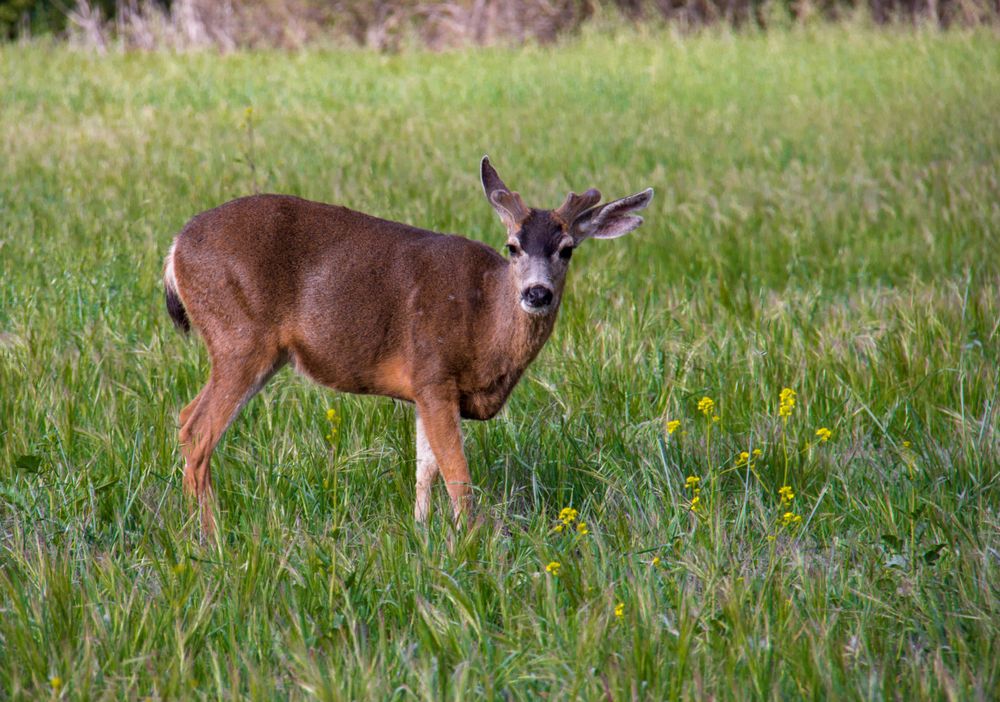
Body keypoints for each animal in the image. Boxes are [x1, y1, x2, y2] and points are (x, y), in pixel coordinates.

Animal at [164, 156, 653, 534]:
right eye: (512, 246)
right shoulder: (434, 370)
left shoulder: (424, 388)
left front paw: (421, 534)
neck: (485, 323)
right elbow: (457, 475)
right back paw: (210, 537)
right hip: (240, 337)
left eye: (567, 248)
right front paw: (469, 544)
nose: (537, 293)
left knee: (186, 417)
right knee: (198, 430)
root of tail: (174, 247)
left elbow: (425, 469)